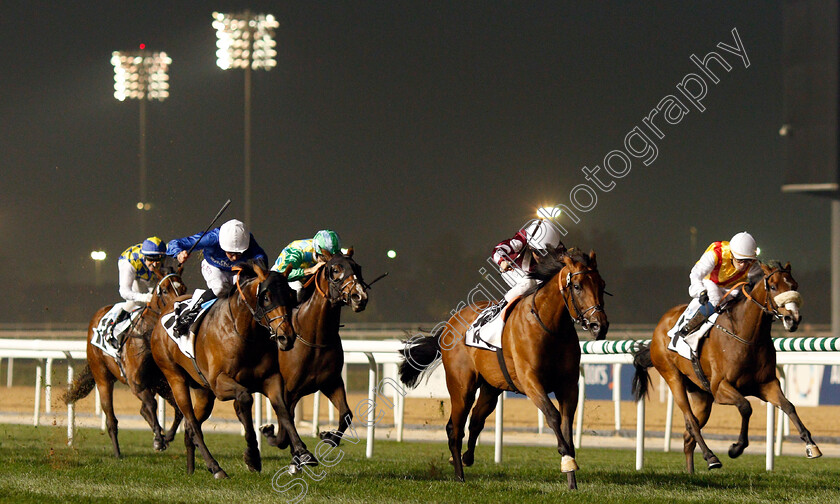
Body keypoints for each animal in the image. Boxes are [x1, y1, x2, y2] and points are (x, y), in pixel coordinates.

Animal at [63, 266, 187, 458]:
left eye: (183, 288)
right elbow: (152, 404)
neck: (147, 337)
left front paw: (166, 437)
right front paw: (159, 439)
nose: (179, 309)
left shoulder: (162, 382)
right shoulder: (136, 384)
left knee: (142, 410)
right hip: (103, 379)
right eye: (165, 290)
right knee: (111, 420)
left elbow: (178, 409)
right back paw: (117, 453)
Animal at [151, 262, 298, 478]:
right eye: (266, 297)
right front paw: (252, 456)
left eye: (290, 295)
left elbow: (283, 410)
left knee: (190, 425)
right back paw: (216, 467)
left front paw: (303, 452)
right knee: (192, 423)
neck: (243, 330)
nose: (286, 337)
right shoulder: (220, 384)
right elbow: (245, 399)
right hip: (175, 378)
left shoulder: (271, 379)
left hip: (203, 392)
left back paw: (191, 469)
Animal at [260, 248, 370, 456]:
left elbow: (346, 414)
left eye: (358, 267)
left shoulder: (331, 382)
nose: (359, 297)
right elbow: (284, 427)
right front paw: (270, 431)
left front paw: (328, 435)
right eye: (335, 269)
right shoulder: (288, 390)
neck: (316, 338)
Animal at [398, 250, 608, 490]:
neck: (550, 326)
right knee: (455, 429)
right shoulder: (531, 382)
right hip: (462, 387)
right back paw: (460, 476)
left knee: (476, 421)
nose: (599, 326)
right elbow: (553, 416)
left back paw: (464, 458)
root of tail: (449, 325)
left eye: (601, 284)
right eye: (577, 286)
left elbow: (566, 426)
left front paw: (571, 478)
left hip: (491, 388)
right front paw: (566, 459)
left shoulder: (569, 386)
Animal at [632, 260, 820, 472]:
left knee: (688, 435)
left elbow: (788, 406)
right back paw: (711, 457)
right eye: (773, 287)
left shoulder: (767, 384)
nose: (792, 319)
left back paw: (691, 472)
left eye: (794, 286)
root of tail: (659, 327)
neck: (747, 336)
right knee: (691, 421)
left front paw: (811, 445)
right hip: (672, 376)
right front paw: (736, 448)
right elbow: (745, 406)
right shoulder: (720, 387)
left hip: (701, 394)